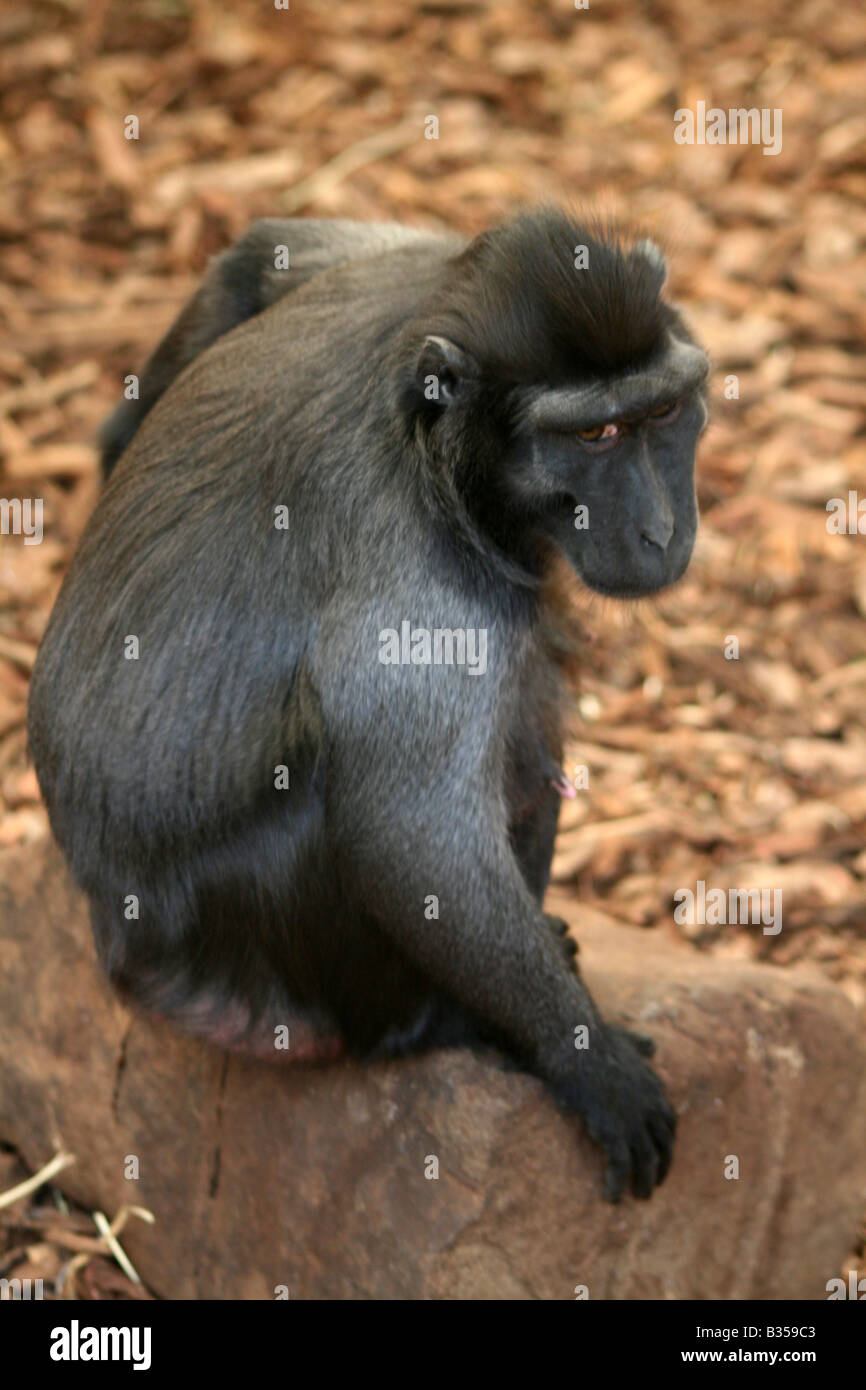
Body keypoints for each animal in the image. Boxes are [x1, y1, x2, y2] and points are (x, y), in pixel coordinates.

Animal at [28, 207, 709, 1202]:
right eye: (593, 438)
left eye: (660, 414)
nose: (662, 530)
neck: (433, 430)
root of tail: (120, 950)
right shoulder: (419, 581)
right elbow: (407, 838)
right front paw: (587, 1062)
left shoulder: (397, 263)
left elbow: (252, 262)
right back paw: (435, 1026)